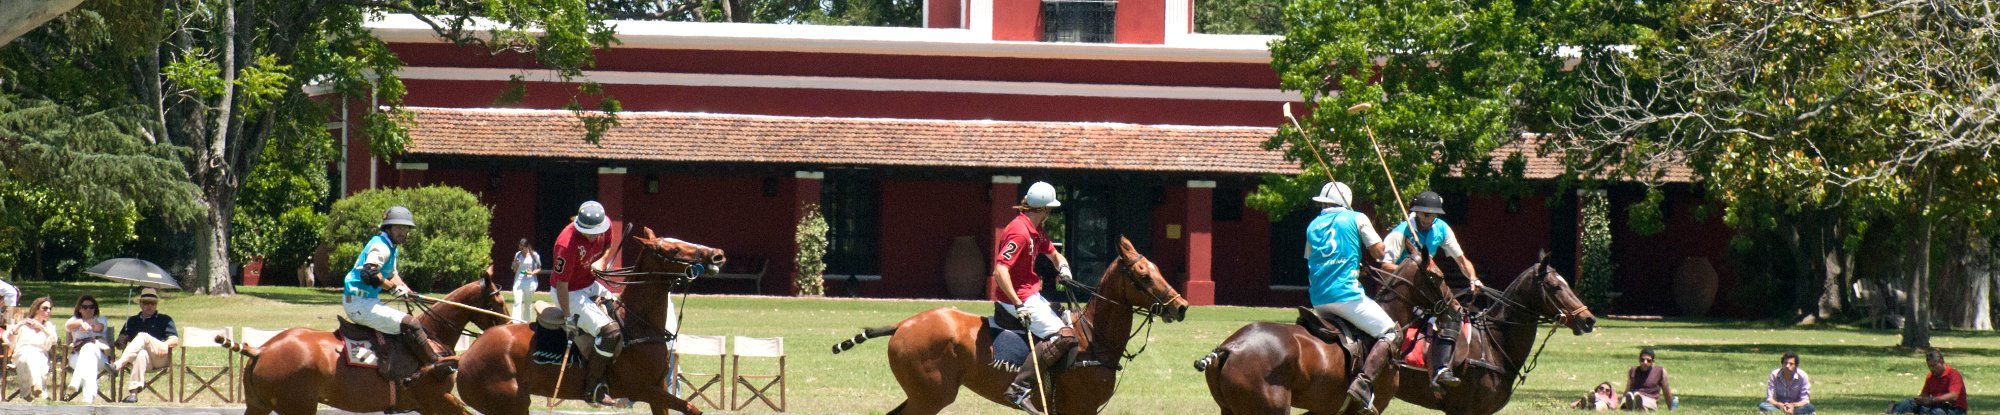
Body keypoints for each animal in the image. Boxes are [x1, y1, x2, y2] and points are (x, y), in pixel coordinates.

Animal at [223, 271, 512, 415]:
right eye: (497, 301)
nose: (510, 326)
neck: (433, 336)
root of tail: (261, 350)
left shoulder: (426, 405)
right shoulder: (435, 398)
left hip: (258, 405)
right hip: (297, 406)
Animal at [456, 227, 728, 415]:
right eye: (673, 250)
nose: (717, 255)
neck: (638, 323)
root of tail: (464, 358)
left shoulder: (658, 386)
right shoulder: (640, 388)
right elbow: (691, 408)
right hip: (510, 401)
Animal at [828, 236, 1184, 415]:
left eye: (1156, 268)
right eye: (1143, 276)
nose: (1180, 307)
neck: (1092, 339)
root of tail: (902, 323)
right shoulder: (1079, 409)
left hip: (923, 394)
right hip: (930, 395)